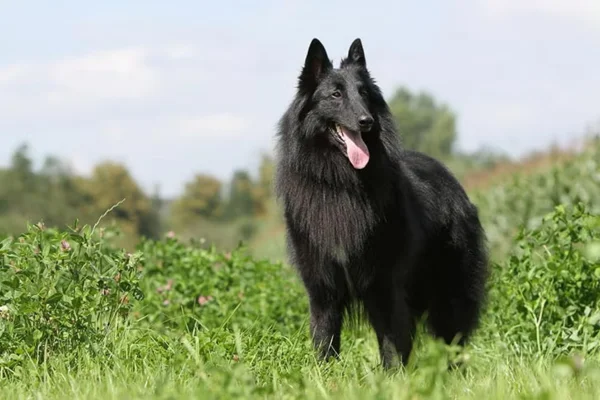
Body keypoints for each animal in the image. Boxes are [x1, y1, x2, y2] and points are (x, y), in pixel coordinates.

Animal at [274, 38, 490, 368]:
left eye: (363, 93)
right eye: (336, 94)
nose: (367, 121)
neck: (342, 185)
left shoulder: (384, 284)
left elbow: (391, 344)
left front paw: (393, 377)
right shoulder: (322, 288)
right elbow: (325, 340)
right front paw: (325, 376)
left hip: (449, 294)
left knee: (452, 340)